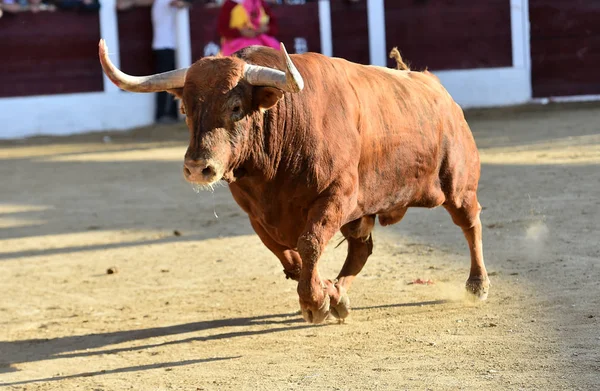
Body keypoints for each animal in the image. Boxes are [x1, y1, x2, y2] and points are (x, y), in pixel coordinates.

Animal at [98, 40, 490, 324]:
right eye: (185, 110)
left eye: (236, 106)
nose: (198, 168)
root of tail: (433, 87)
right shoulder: (257, 214)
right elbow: (289, 257)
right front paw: (326, 294)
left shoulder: (337, 195)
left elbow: (309, 243)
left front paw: (316, 302)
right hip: (364, 214)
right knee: (361, 249)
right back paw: (340, 295)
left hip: (457, 185)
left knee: (470, 223)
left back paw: (477, 285)